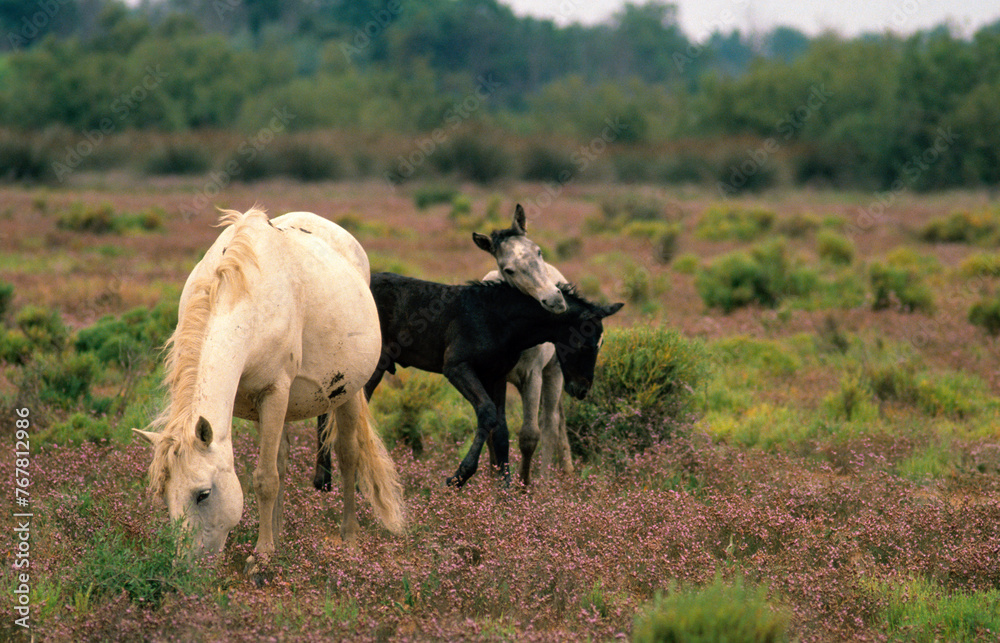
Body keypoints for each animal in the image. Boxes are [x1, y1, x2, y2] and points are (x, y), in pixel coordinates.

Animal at [134, 208, 404, 570]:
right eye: (164, 495)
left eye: (203, 494)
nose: (185, 570)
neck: (247, 297)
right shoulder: (254, 404)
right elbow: (273, 470)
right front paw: (272, 545)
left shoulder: (273, 394)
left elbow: (264, 479)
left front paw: (261, 556)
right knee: (283, 461)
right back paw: (281, 535)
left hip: (347, 393)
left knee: (348, 456)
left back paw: (348, 536)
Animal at [314, 272, 623, 490]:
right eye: (586, 343)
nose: (581, 389)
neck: (498, 318)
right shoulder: (457, 367)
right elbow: (487, 413)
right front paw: (459, 476)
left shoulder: (495, 375)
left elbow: (501, 430)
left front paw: (505, 493)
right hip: (369, 365)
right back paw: (342, 480)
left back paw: (326, 480)